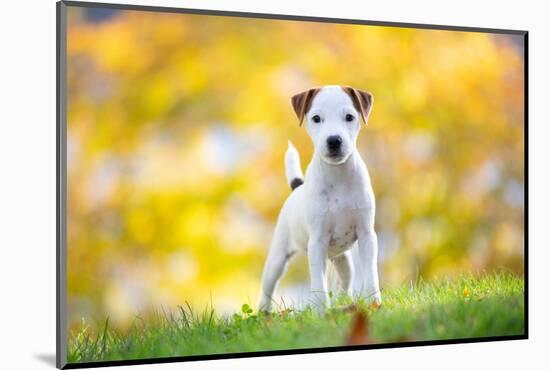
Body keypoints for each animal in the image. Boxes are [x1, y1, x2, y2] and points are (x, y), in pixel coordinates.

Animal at [260, 84, 384, 312]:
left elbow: (371, 273)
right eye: (316, 118)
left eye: (349, 117)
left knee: (346, 278)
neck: (339, 176)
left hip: (341, 257)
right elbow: (318, 281)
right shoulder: (317, 243)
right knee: (267, 288)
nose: (334, 140)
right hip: (278, 258)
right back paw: (263, 312)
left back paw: (344, 301)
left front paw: (374, 303)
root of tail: (297, 189)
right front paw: (320, 310)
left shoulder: (367, 235)